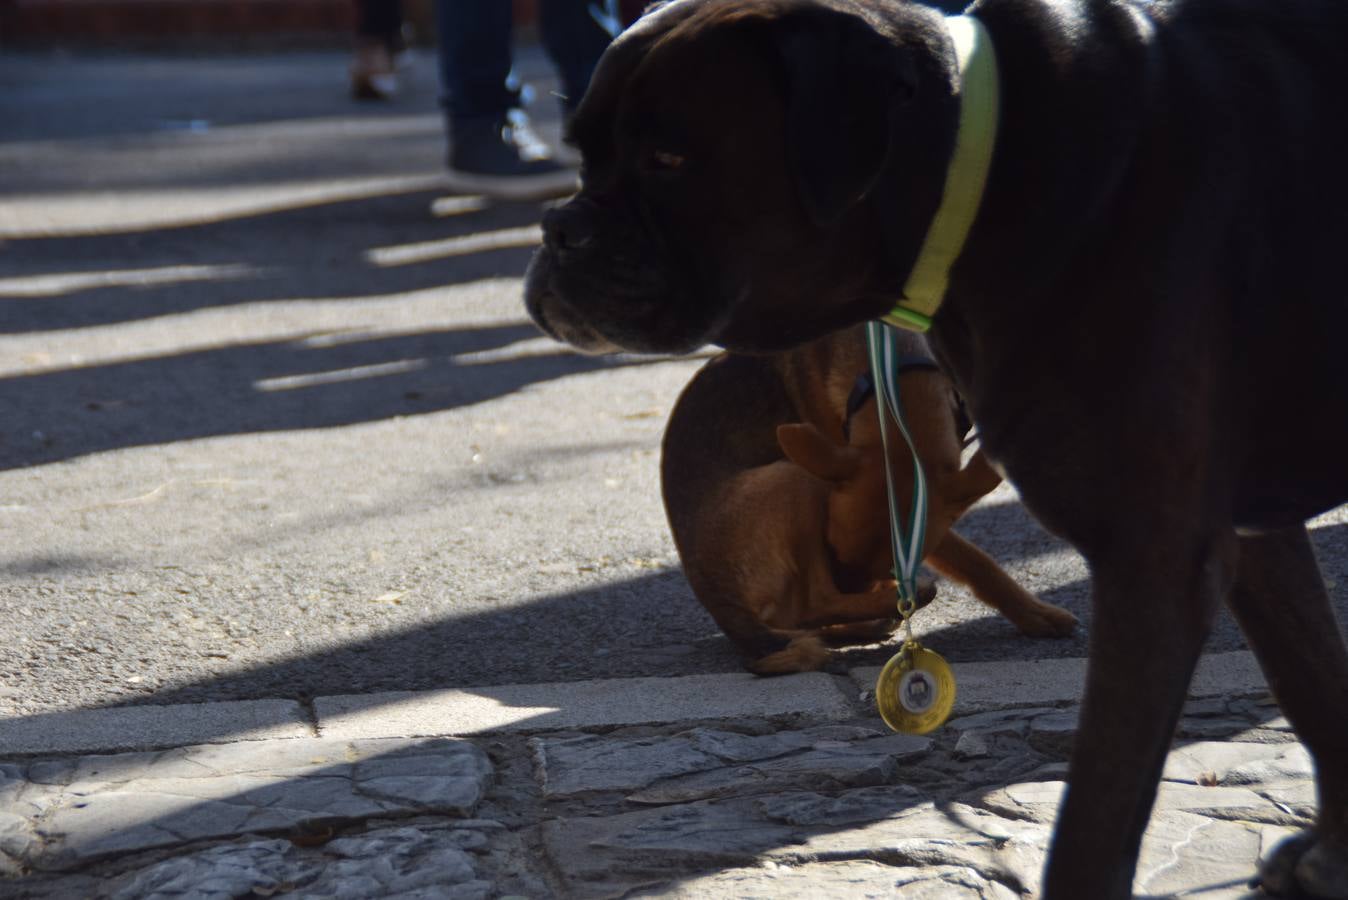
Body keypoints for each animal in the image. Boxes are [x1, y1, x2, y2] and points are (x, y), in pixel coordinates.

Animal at [660, 327, 1073, 670]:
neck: (890, 375)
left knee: (800, 617)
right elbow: (974, 559)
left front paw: (1034, 613)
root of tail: (721, 605)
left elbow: (976, 561)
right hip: (795, 477)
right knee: (814, 603)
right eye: (833, 547)